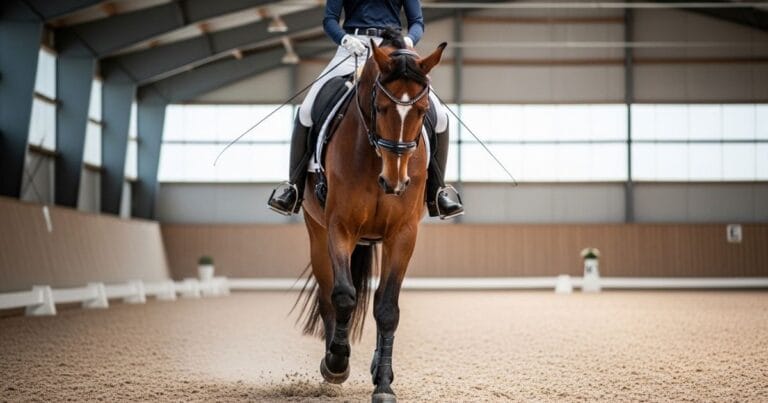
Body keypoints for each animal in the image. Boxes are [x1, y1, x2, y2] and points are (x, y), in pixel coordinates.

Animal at [295, 32, 447, 403]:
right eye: (380, 108)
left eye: (422, 111)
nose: (395, 182)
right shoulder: (340, 228)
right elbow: (343, 295)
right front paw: (336, 363)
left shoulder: (403, 235)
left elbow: (387, 307)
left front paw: (384, 384)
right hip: (317, 233)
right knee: (328, 294)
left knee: (377, 301)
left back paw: (379, 367)